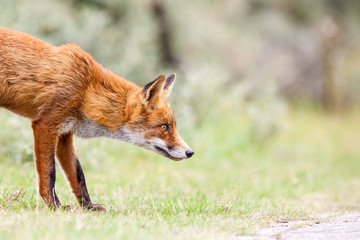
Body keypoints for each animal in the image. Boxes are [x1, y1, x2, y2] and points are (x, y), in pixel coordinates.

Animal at [0, 28, 194, 211]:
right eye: (164, 126)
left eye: (172, 125)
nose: (190, 152)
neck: (87, 91)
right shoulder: (46, 124)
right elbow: (50, 173)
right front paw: (55, 206)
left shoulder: (64, 134)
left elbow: (78, 175)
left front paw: (88, 207)